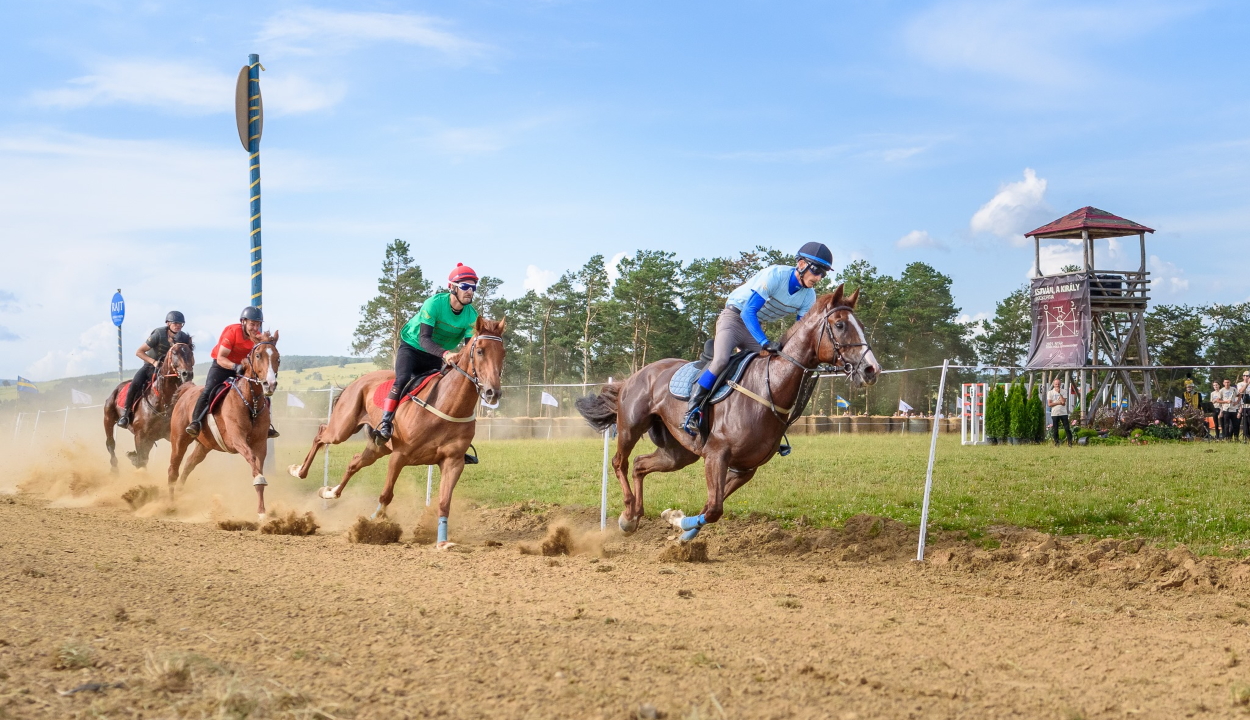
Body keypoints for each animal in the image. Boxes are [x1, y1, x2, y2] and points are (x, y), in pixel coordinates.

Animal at [102, 342, 195, 472]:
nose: (187, 374)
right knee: (110, 443)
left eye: (191, 353)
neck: (163, 401)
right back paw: (114, 469)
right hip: (108, 419)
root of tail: (118, 388)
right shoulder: (140, 436)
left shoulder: (166, 435)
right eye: (175, 353)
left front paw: (132, 457)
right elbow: (141, 460)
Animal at [166, 330, 281, 520]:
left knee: (189, 464)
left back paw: (182, 494)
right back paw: (171, 505)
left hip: (204, 445)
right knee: (173, 470)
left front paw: (262, 513)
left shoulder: (260, 443)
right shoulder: (237, 439)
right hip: (179, 440)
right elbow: (252, 461)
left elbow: (258, 468)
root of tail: (186, 390)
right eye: (258, 355)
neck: (250, 402)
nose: (269, 384)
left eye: (278, 358)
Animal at [290, 317, 505, 547]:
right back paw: (298, 471)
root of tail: (357, 381)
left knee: (354, 462)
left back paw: (329, 491)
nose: (492, 392)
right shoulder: (399, 456)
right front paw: (373, 525)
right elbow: (386, 495)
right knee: (321, 434)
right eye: (480, 351)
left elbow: (444, 502)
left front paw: (442, 541)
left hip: (378, 448)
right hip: (343, 428)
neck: (448, 406)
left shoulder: (453, 462)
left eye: (503, 353)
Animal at [575, 283, 880, 542]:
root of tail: (635, 375)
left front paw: (681, 528)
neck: (768, 388)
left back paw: (634, 516)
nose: (871, 369)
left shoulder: (745, 468)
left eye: (862, 326)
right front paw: (677, 521)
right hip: (631, 425)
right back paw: (628, 513)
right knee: (620, 462)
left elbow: (711, 508)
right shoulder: (716, 456)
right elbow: (713, 508)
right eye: (840, 324)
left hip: (678, 453)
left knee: (640, 464)